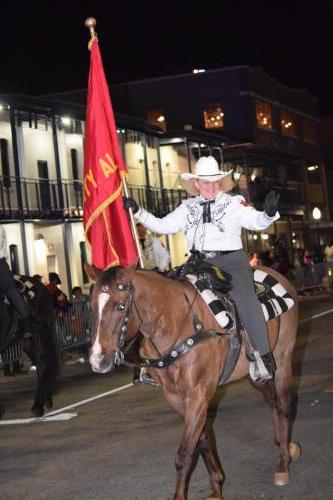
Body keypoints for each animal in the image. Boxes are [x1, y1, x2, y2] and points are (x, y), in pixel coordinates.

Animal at [85, 264, 298, 498]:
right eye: (91, 307)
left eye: (121, 306)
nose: (98, 361)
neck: (176, 325)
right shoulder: (175, 397)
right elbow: (202, 440)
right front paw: (216, 486)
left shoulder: (198, 394)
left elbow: (184, 454)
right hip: (256, 375)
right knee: (272, 399)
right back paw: (281, 441)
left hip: (282, 358)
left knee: (284, 403)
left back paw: (284, 462)